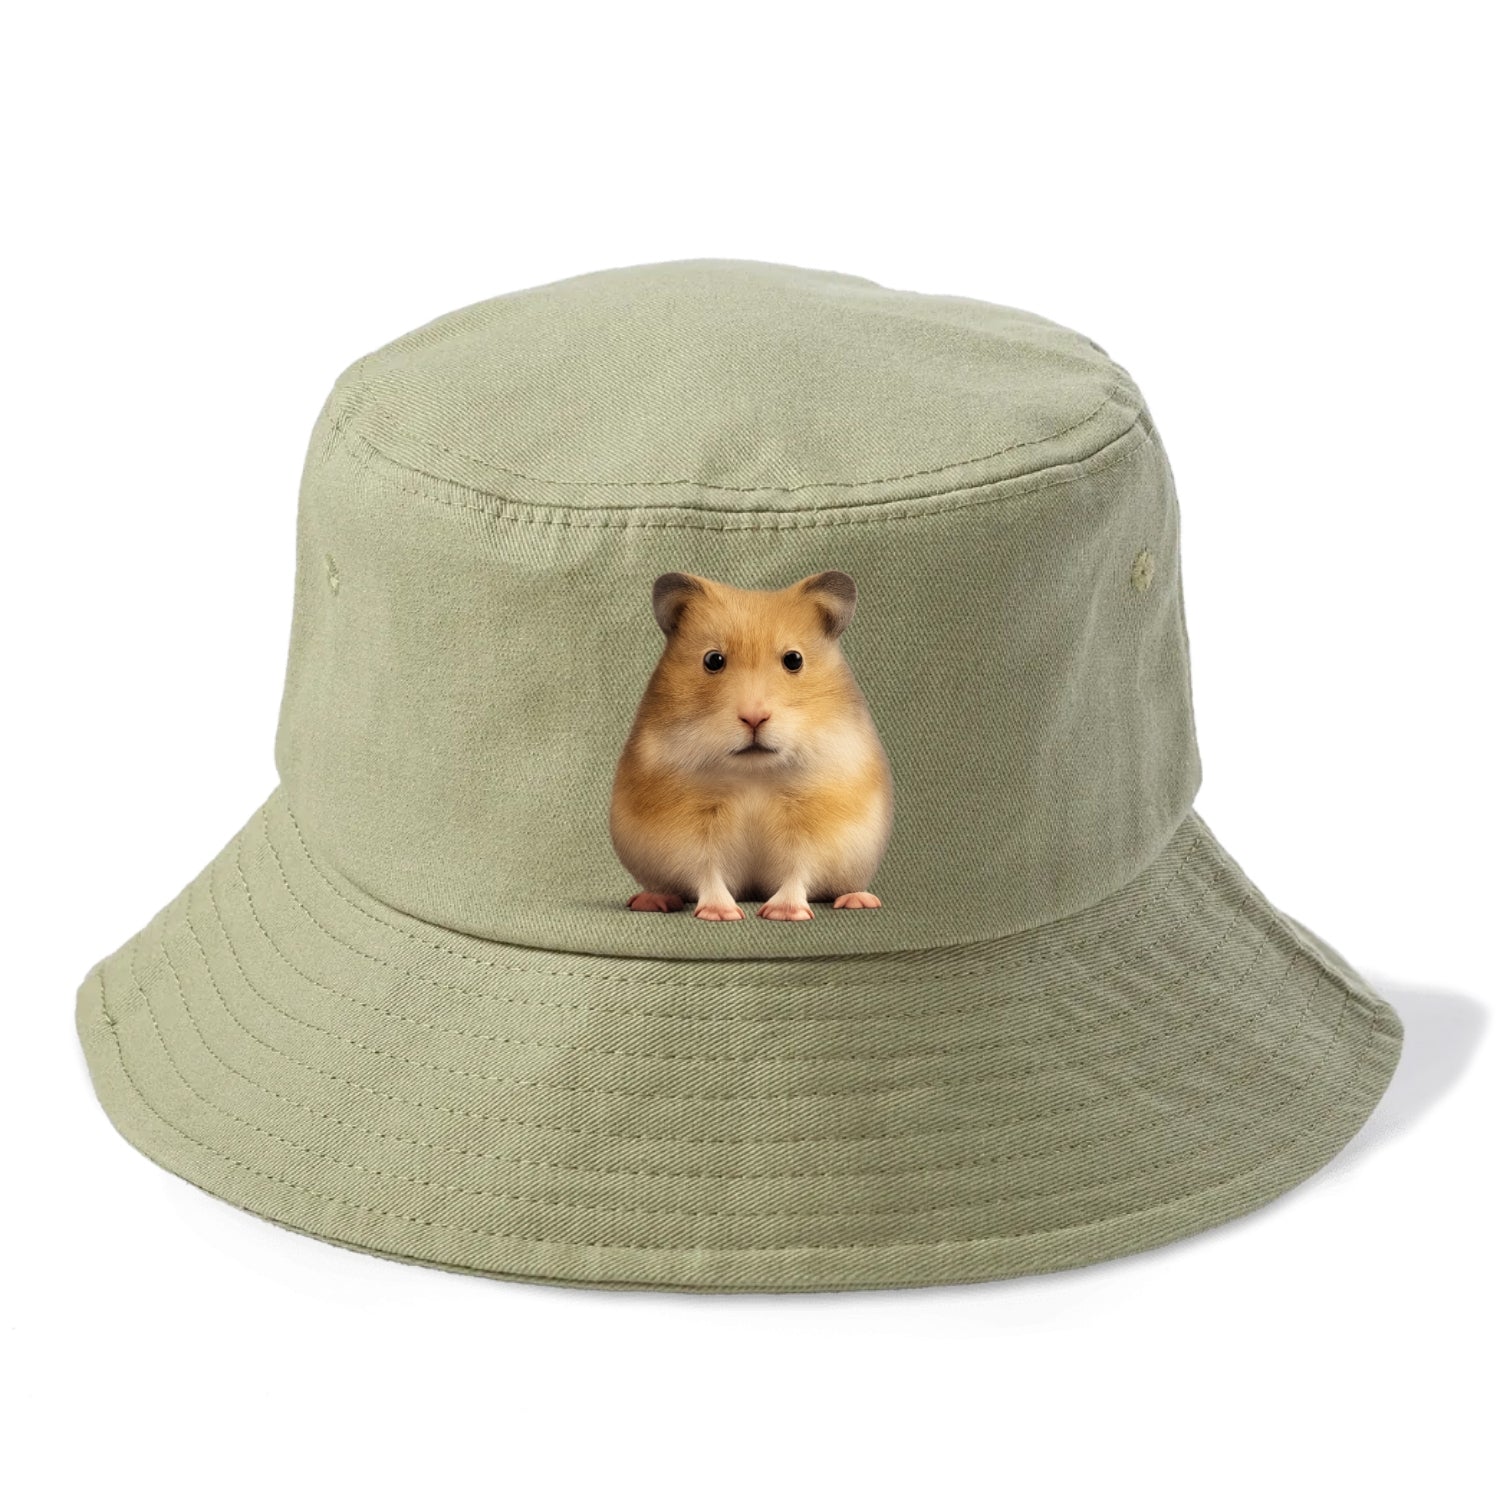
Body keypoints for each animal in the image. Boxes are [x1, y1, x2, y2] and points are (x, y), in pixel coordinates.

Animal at [610, 570, 893, 921]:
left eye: (794, 659)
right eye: (713, 660)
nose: (754, 717)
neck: (753, 773)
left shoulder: (814, 826)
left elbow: (798, 870)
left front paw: (783, 913)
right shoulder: (688, 832)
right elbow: (706, 870)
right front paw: (721, 914)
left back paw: (860, 900)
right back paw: (651, 901)